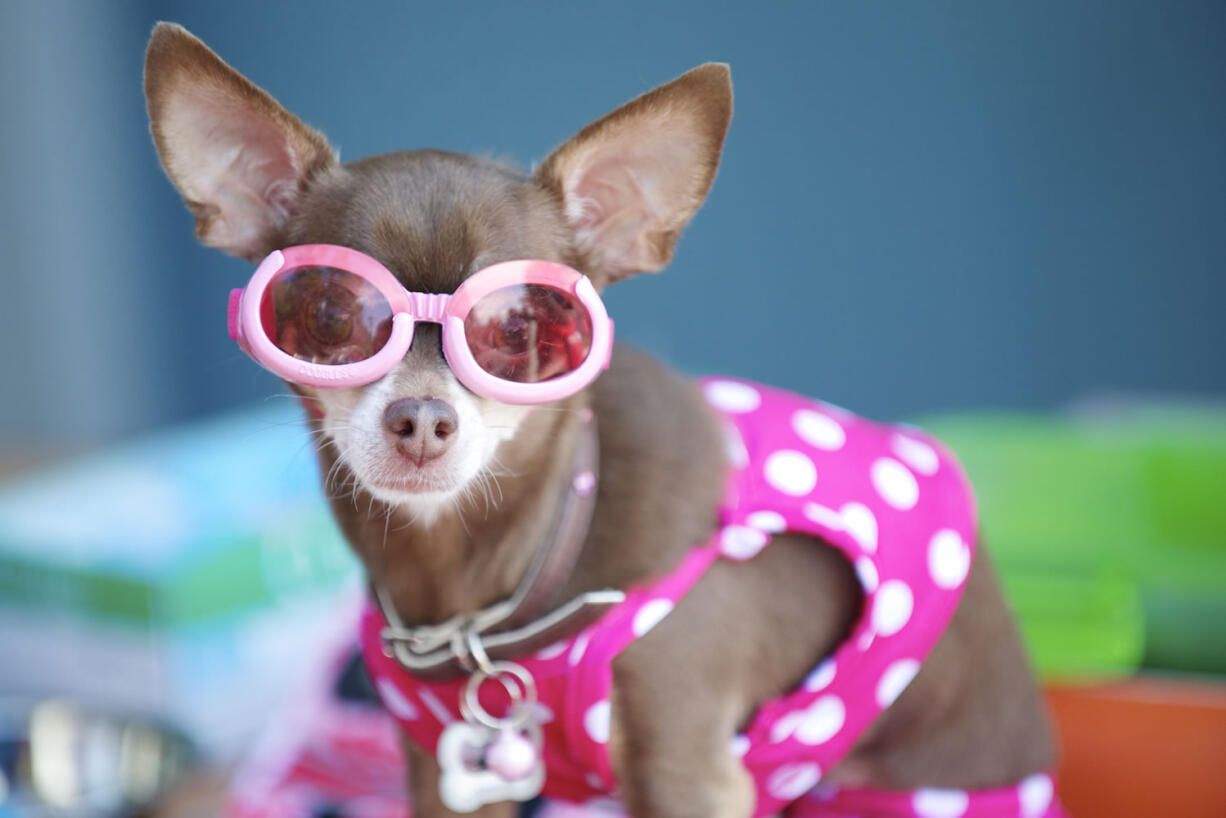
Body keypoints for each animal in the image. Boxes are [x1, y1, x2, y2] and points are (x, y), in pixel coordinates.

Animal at [148, 22, 1059, 814]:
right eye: (334, 315)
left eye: (519, 328)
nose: (422, 418)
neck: (479, 591)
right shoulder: (445, 774)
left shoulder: (689, 773)